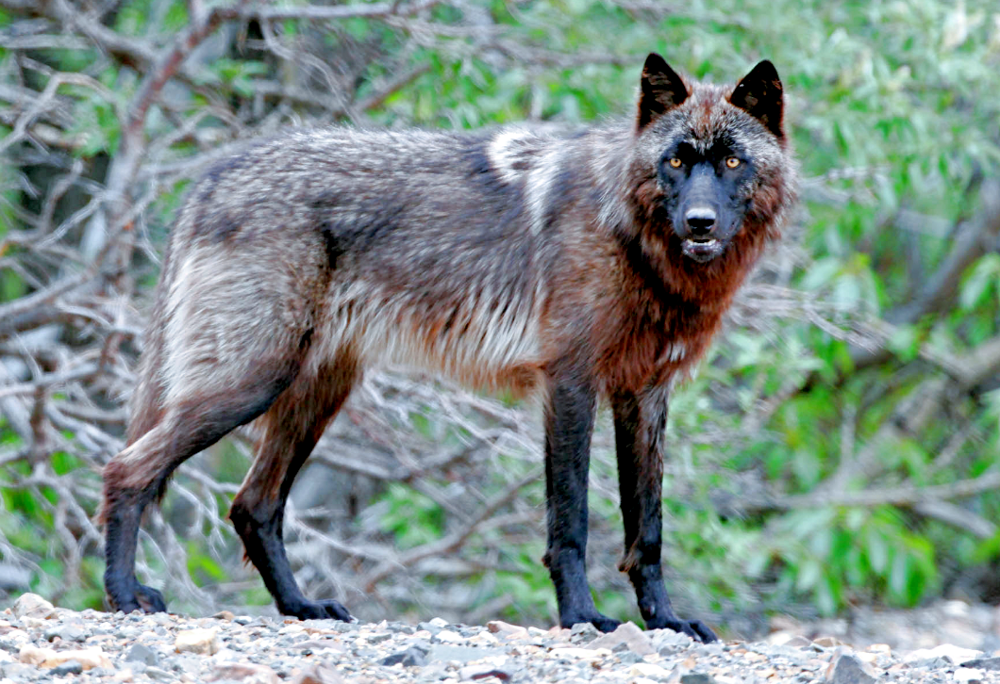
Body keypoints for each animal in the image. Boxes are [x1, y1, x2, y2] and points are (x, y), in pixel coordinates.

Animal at [103, 54, 796, 640]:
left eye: (731, 163)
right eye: (676, 162)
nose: (700, 223)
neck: (630, 234)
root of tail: (210, 176)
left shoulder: (644, 394)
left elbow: (646, 531)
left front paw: (665, 622)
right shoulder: (570, 384)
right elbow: (570, 520)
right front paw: (581, 616)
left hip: (312, 397)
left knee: (253, 506)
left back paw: (300, 608)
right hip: (252, 383)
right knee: (128, 469)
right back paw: (124, 595)